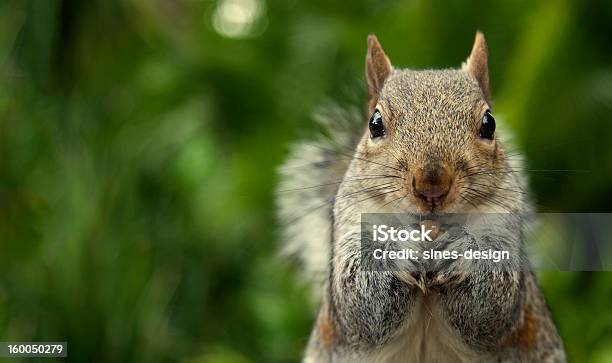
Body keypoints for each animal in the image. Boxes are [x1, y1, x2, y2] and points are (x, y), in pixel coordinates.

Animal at [274, 32, 568, 362]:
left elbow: (492, 305)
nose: (431, 184)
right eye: (375, 124)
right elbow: (358, 302)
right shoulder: (351, 226)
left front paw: (460, 251)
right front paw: (400, 250)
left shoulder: (505, 229)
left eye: (489, 123)